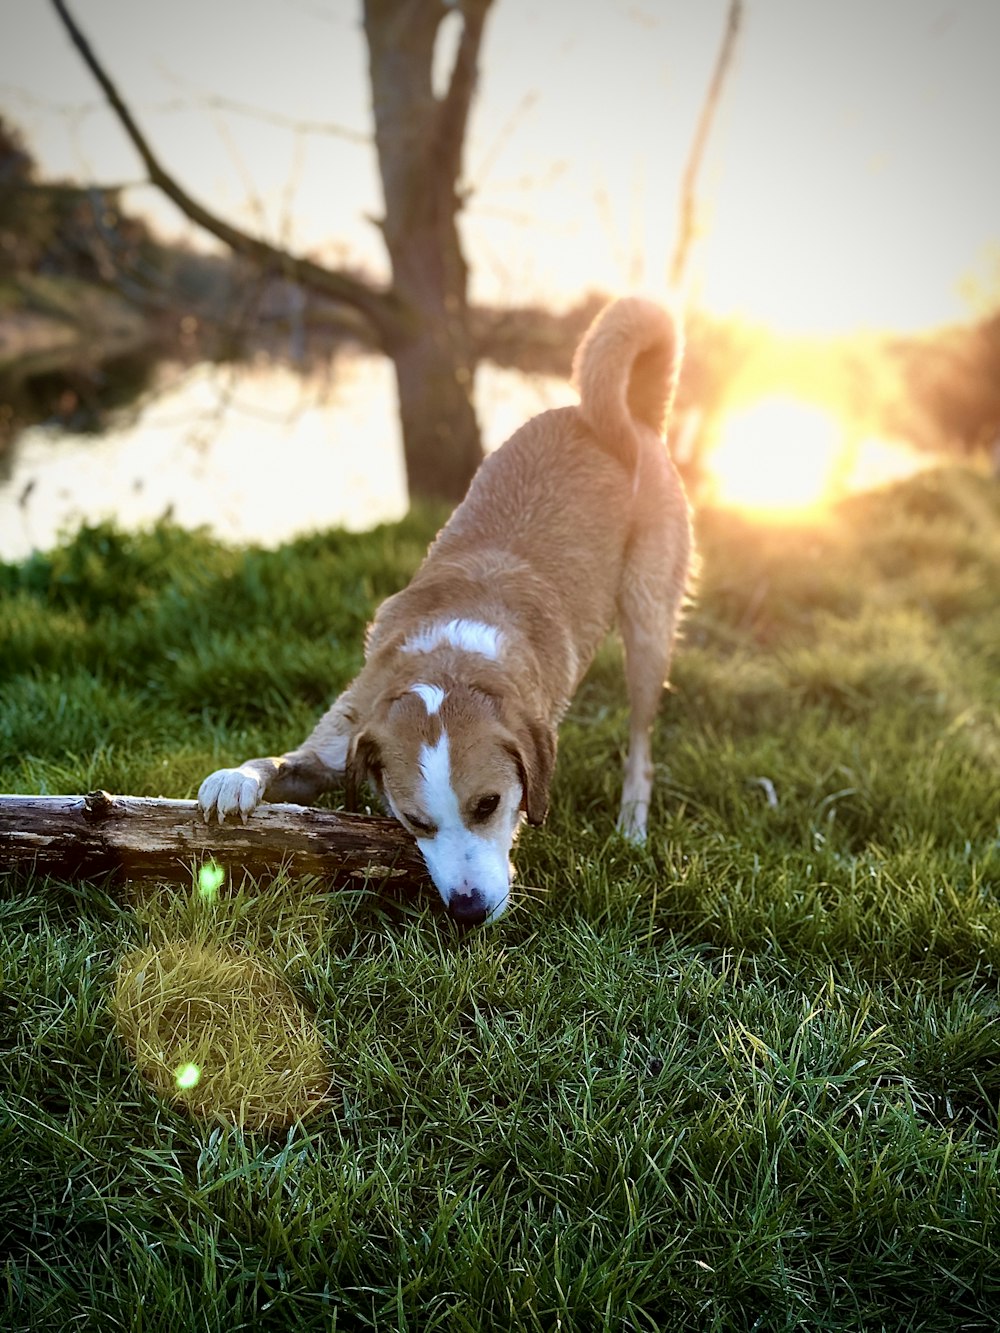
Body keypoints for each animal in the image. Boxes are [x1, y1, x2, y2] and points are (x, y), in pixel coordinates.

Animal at [200, 299, 693, 927]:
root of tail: (629, 416)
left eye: (489, 804)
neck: (451, 663)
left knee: (641, 742)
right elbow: (279, 760)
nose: (467, 910)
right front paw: (234, 779)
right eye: (414, 821)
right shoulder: (342, 737)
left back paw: (631, 825)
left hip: (649, 623)